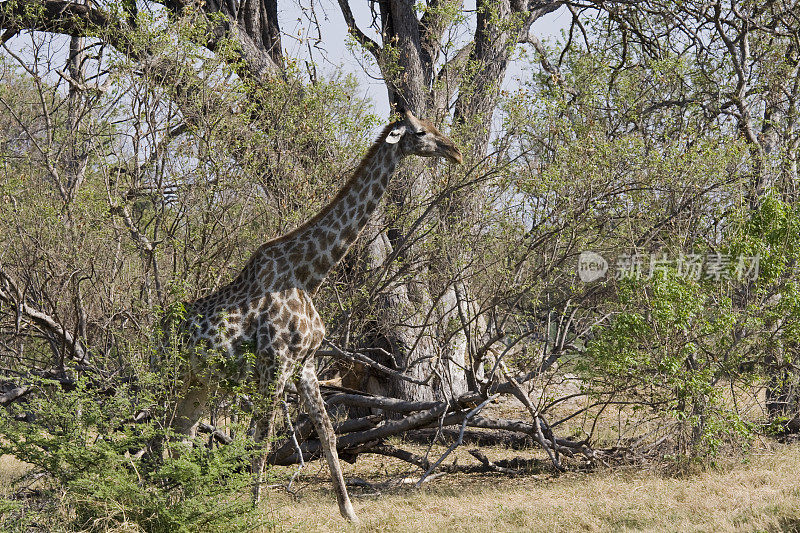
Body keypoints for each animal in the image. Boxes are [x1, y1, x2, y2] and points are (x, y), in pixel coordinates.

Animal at [172, 108, 466, 520]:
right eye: (420, 131)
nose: (455, 151)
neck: (309, 276)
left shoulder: (306, 365)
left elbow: (326, 431)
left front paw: (349, 510)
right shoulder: (275, 364)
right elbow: (262, 436)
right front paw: (252, 509)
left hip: (199, 384)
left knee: (178, 434)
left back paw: (175, 497)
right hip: (169, 377)